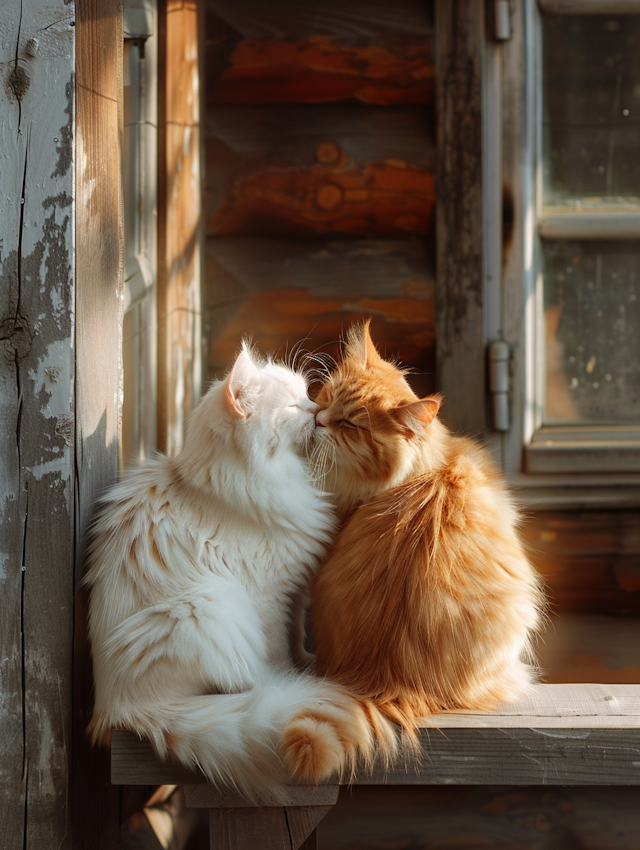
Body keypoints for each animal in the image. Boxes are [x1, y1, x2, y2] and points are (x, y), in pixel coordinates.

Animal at [84, 344, 380, 796]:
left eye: (307, 396)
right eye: (293, 406)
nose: (317, 411)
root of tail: (118, 708)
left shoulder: (294, 593)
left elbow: (296, 637)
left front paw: (306, 662)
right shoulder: (270, 599)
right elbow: (278, 651)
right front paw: (290, 679)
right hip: (209, 608)